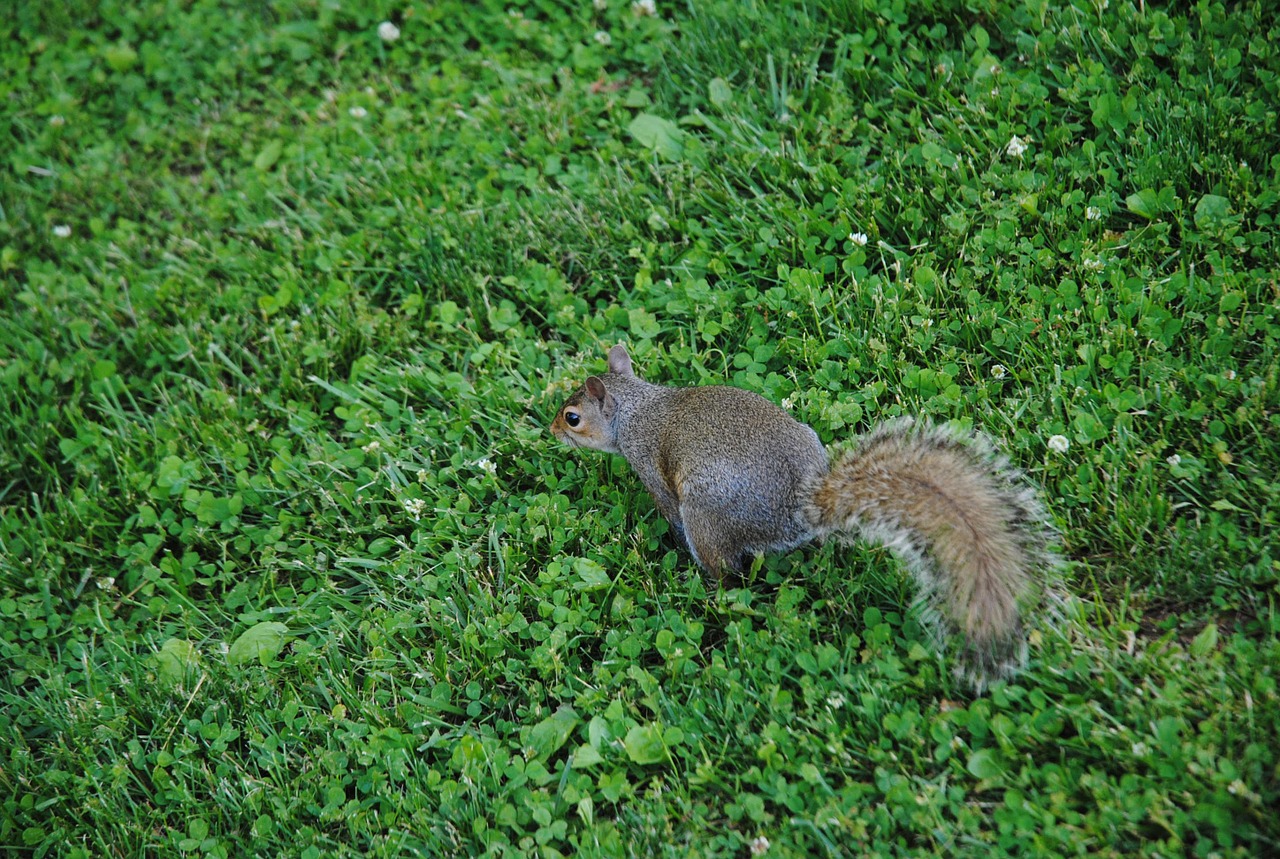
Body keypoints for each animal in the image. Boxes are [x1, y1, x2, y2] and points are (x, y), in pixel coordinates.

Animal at [550, 345, 1059, 691]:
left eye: (572, 417)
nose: (551, 430)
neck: (637, 409)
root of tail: (799, 508)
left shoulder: (653, 472)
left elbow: (666, 510)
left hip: (707, 518)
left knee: (727, 573)